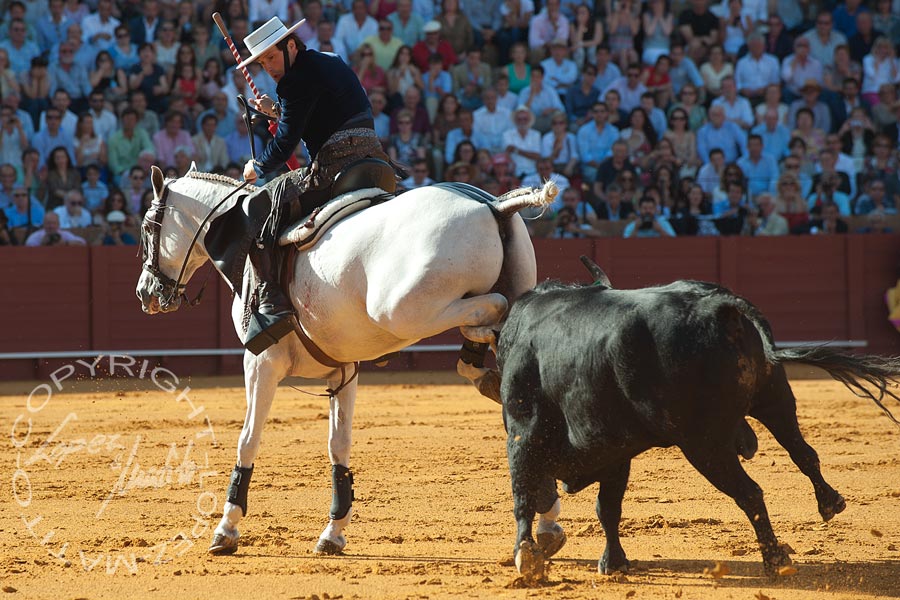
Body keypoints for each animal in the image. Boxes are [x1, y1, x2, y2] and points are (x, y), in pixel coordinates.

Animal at [500, 260, 900, 580]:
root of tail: (724, 307)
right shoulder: (616, 447)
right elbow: (608, 506)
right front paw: (613, 563)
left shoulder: (523, 431)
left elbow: (524, 493)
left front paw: (526, 556)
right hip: (774, 397)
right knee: (803, 451)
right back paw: (830, 503)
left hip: (704, 441)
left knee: (750, 492)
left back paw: (776, 560)